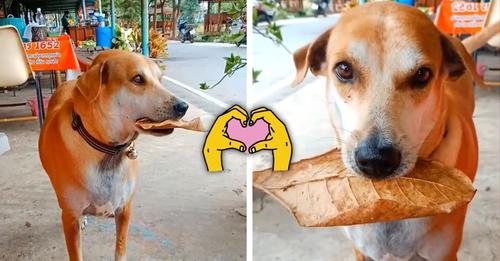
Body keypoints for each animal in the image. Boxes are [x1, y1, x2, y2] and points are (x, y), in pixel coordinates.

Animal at [39, 49, 189, 258]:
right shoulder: (69, 219)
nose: (183, 107)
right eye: (137, 78)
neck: (106, 150)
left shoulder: (125, 209)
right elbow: (76, 252)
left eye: (160, 79)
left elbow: (120, 247)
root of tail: (71, 82)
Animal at [292, 2, 496, 260]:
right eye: (344, 69)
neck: (390, 198)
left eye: (422, 74)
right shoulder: (361, 251)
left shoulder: (443, 254)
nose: (376, 159)